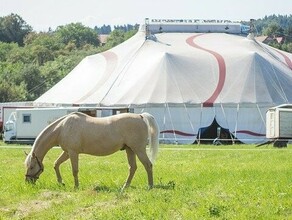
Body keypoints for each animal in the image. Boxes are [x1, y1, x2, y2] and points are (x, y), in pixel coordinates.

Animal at [24, 111, 160, 189]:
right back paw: (125, 186)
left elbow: (74, 170)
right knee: (132, 168)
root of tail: (140, 116)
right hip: (130, 150)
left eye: (32, 166)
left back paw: (150, 186)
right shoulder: (67, 152)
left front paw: (76, 186)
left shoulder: (73, 153)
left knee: (148, 165)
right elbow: (56, 164)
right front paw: (61, 182)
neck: (62, 128)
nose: (28, 182)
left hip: (139, 149)